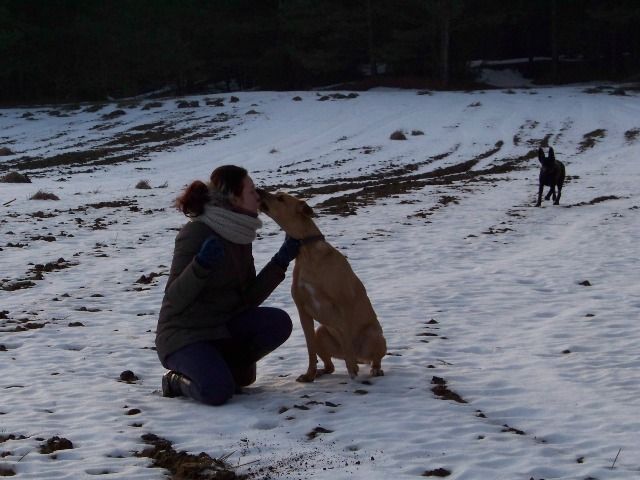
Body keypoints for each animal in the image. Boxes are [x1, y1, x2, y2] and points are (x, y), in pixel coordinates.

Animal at [257, 189, 387, 382]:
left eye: (280, 198)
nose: (258, 190)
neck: (306, 252)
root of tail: (361, 357)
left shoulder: (342, 304)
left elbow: (346, 338)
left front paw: (352, 371)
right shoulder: (303, 311)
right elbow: (310, 349)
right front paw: (309, 374)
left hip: (374, 335)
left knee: (372, 356)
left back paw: (373, 368)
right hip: (321, 332)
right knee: (330, 364)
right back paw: (323, 370)